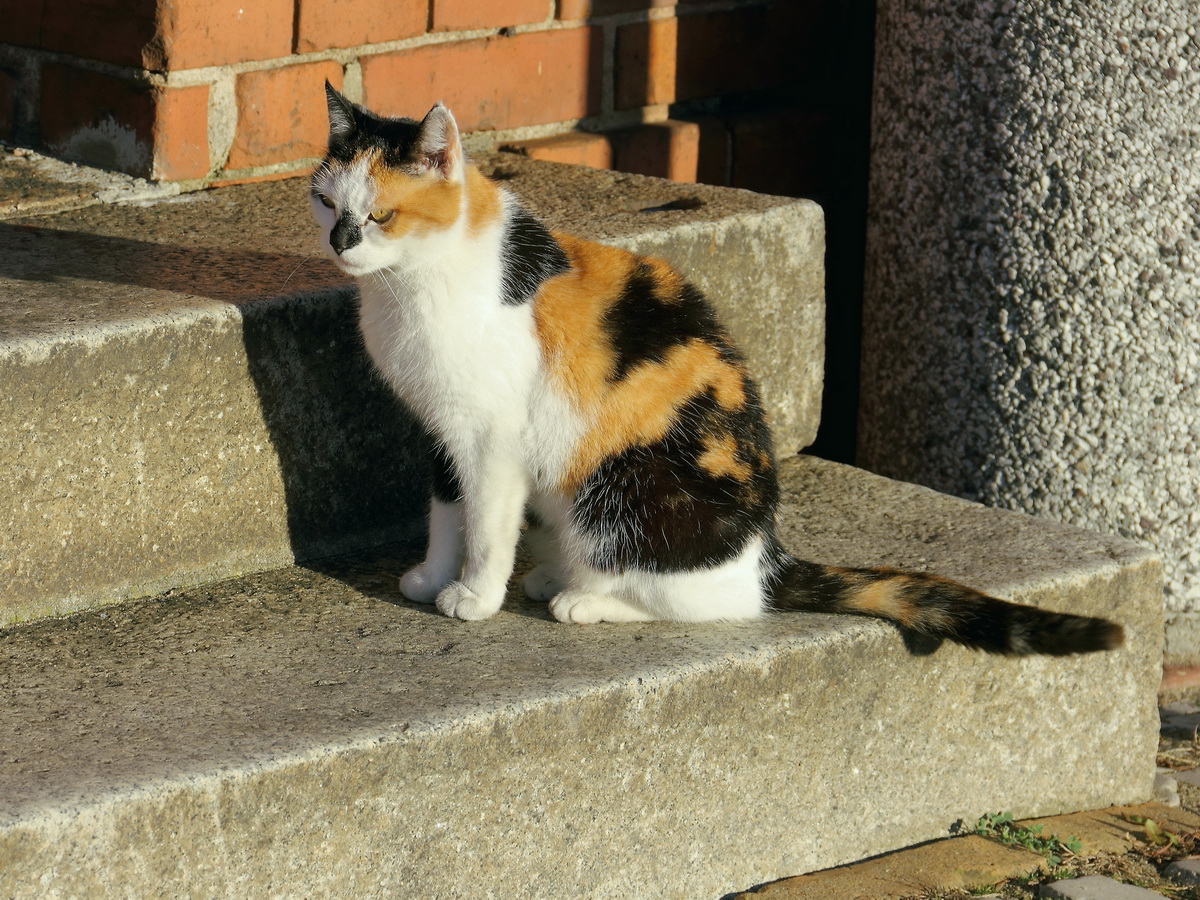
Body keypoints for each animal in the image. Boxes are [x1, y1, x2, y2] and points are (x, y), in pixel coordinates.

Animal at [312, 84, 1123, 657]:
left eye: (381, 215)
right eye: (324, 200)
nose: (340, 241)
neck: (409, 289)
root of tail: (768, 551)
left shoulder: (493, 441)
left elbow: (485, 525)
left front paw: (474, 597)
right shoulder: (442, 432)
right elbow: (447, 514)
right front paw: (428, 579)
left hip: (619, 489)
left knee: (708, 601)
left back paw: (580, 597)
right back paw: (552, 575)